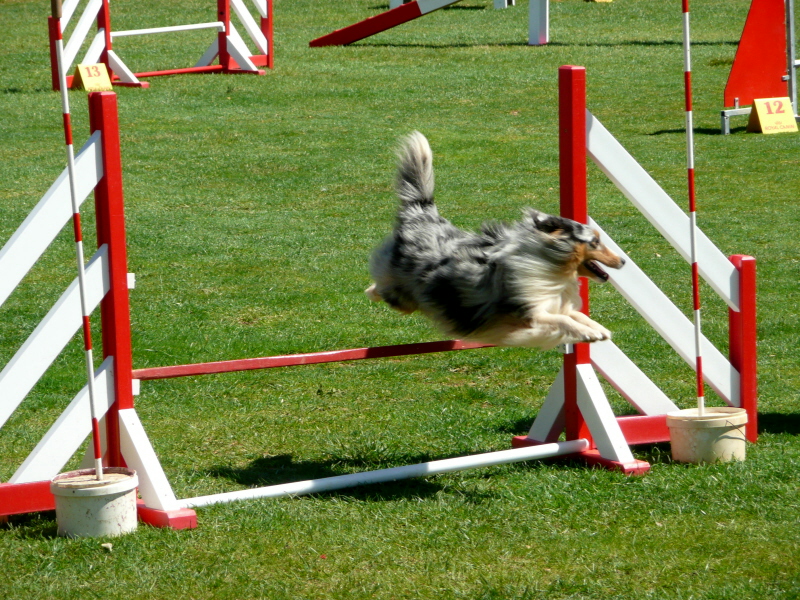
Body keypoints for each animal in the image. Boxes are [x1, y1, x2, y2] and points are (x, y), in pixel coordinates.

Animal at [368, 130, 624, 346]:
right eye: (595, 242)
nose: (623, 261)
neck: (551, 263)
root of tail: (422, 213)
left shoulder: (551, 301)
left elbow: (575, 315)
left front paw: (598, 329)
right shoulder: (527, 312)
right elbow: (564, 320)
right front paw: (588, 333)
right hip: (402, 294)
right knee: (383, 287)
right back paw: (372, 291)